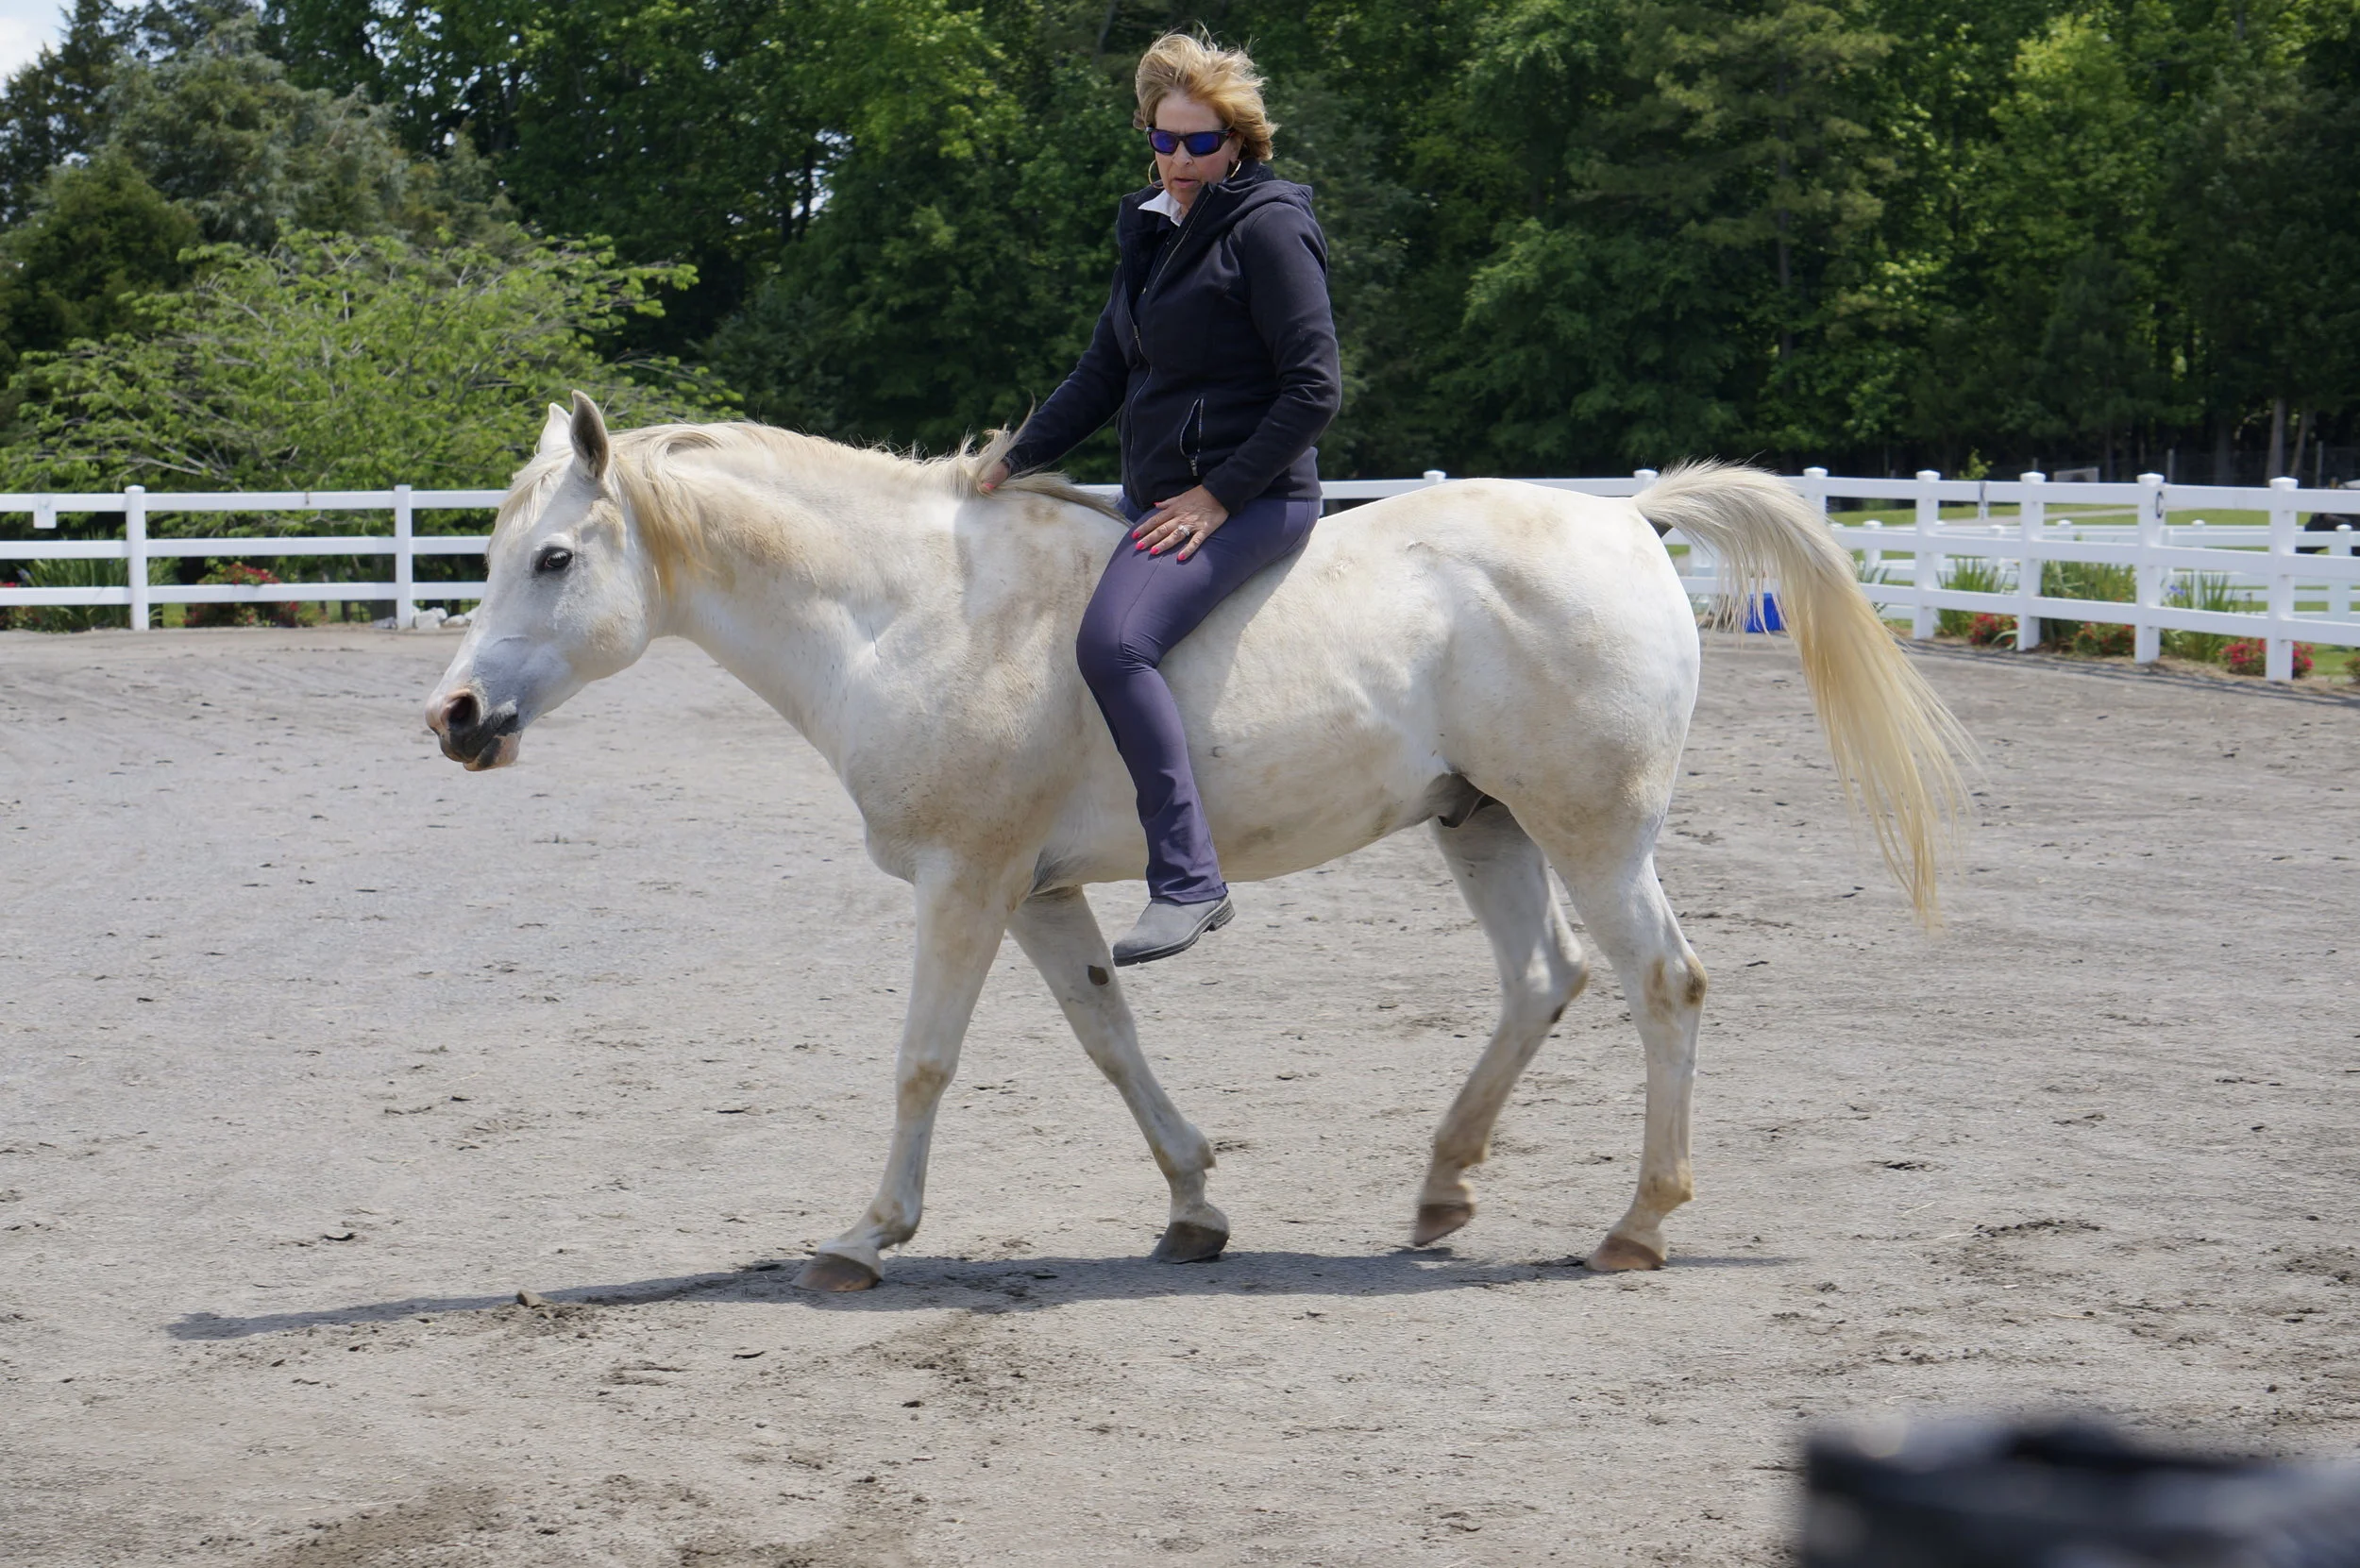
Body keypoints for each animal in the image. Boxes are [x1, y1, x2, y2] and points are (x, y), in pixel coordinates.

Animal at [425, 393, 1970, 1291]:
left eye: (554, 559)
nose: (454, 716)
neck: (913, 610)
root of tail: (1623, 518)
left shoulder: (966, 883)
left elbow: (925, 1058)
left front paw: (864, 1237)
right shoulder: (1037, 894)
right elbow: (1112, 1040)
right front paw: (1192, 1205)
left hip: (1593, 830)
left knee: (1661, 986)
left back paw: (1637, 1224)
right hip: (1483, 825)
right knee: (1543, 980)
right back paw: (1440, 1187)